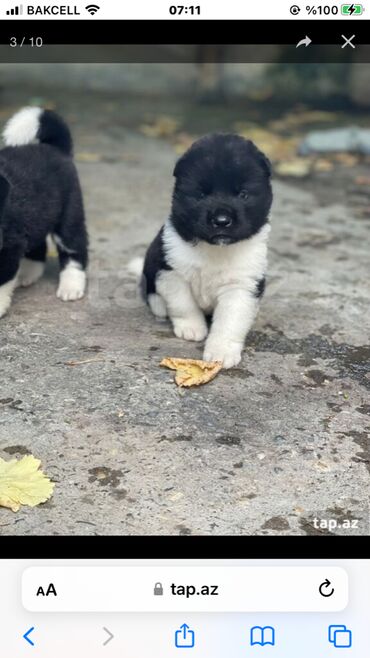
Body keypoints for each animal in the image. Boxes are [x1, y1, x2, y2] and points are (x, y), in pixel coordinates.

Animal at [0, 107, 88, 318]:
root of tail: (55, 148)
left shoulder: (10, 246)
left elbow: (2, 279)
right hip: (35, 217)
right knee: (37, 244)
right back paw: (28, 273)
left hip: (69, 216)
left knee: (74, 249)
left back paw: (71, 286)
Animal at [137, 132, 274, 368]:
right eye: (201, 194)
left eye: (243, 194)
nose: (221, 221)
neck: (215, 249)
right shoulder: (172, 271)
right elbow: (183, 304)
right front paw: (192, 328)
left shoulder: (241, 285)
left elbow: (230, 321)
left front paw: (222, 352)